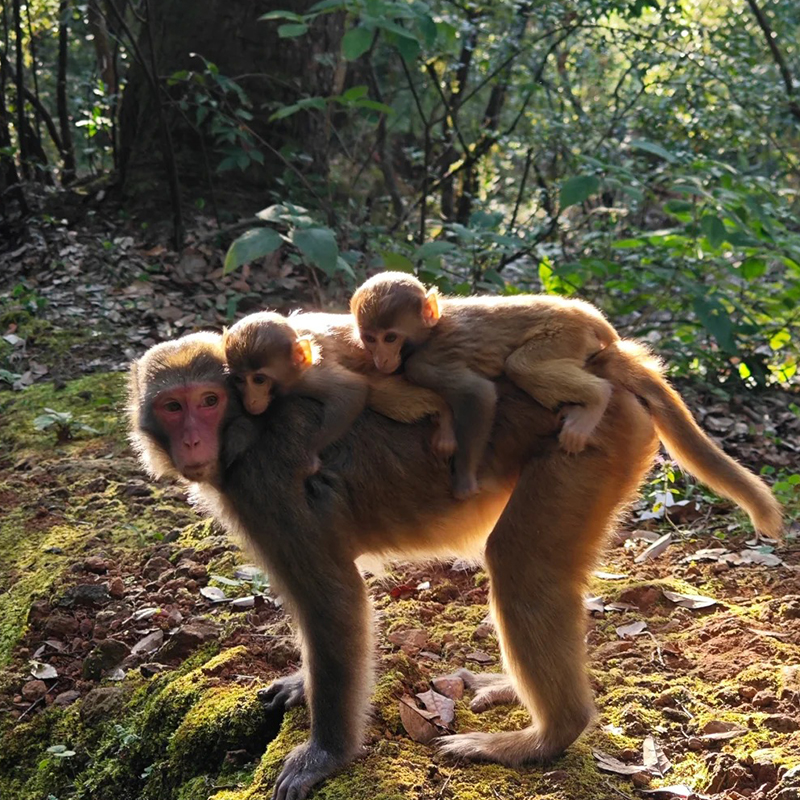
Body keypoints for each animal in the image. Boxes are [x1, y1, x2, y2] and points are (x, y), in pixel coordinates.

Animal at [354, 276, 620, 500]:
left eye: (390, 338)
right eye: (370, 338)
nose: (381, 359)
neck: (432, 330)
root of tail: (582, 311)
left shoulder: (423, 364)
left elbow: (478, 394)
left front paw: (464, 482)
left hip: (564, 335)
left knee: (521, 366)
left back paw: (596, 400)